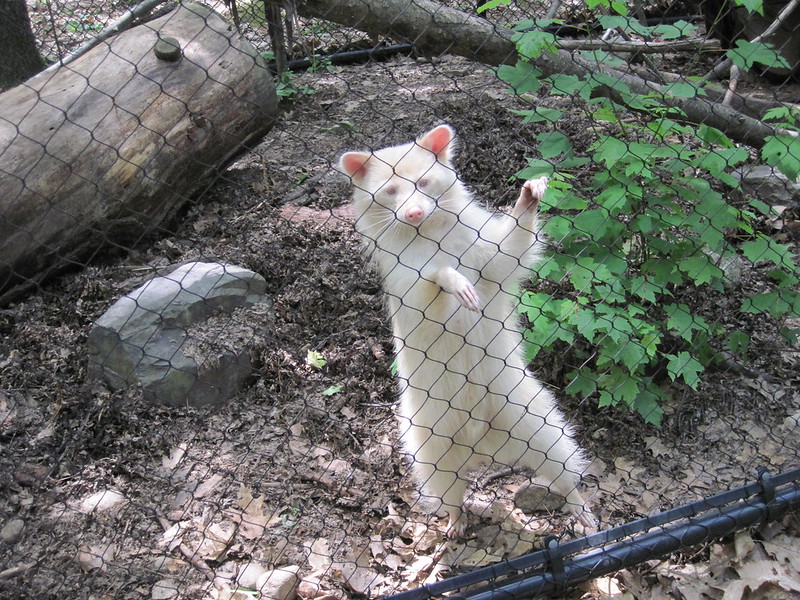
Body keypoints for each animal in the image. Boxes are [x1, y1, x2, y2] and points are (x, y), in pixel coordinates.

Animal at [340, 124, 596, 536]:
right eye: (391, 191)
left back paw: (573, 495)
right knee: (441, 480)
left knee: (554, 450)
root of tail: (483, 446)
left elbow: (506, 256)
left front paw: (526, 201)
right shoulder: (402, 278)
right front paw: (446, 277)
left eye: (423, 182)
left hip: (525, 407)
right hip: (428, 433)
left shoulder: (476, 247)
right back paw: (455, 513)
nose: (413, 211)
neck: (426, 232)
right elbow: (426, 294)